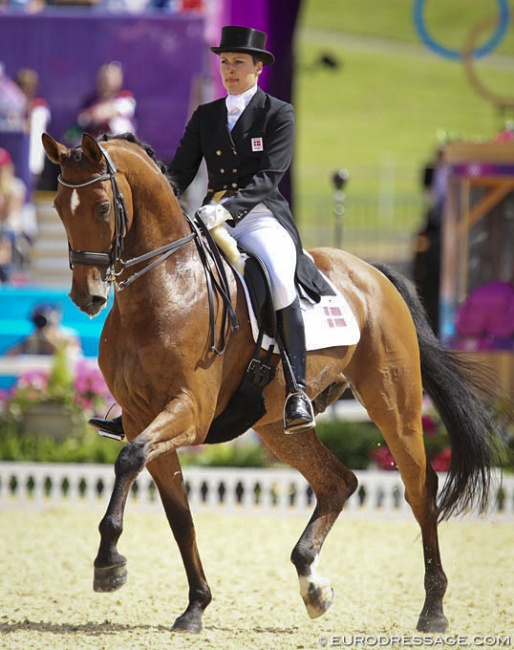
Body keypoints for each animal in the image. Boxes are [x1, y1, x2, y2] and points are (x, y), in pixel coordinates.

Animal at [41, 130, 504, 632]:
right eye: (59, 208)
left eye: (103, 207)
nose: (87, 297)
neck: (165, 285)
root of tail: (371, 272)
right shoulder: (140, 417)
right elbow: (178, 514)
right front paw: (195, 605)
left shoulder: (189, 412)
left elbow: (127, 460)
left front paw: (108, 564)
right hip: (277, 426)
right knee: (337, 483)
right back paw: (313, 586)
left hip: (392, 403)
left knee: (420, 488)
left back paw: (433, 609)